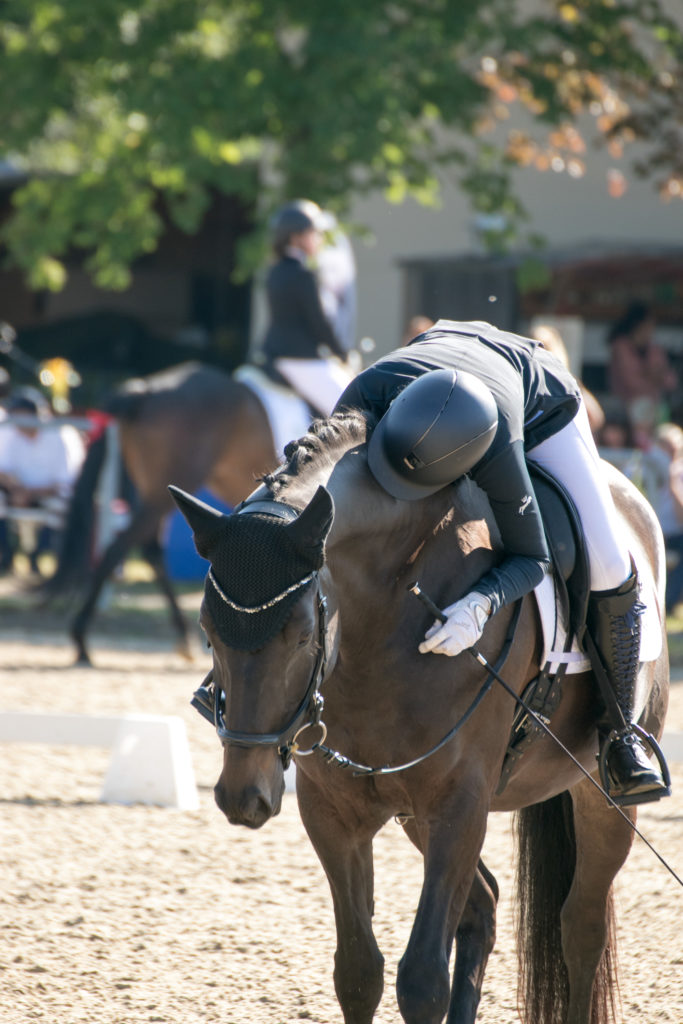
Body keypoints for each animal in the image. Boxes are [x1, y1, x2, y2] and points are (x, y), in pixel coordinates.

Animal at [45, 360, 280, 663]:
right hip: (171, 487)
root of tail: (144, 391)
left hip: (158, 491)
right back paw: (82, 638)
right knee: (120, 548)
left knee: (149, 550)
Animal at [174, 409, 671, 1024]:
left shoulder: (459, 806)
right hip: (411, 812)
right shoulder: (333, 812)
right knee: (484, 905)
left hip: (598, 797)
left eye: (304, 635)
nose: (244, 797)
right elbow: (359, 971)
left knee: (581, 927)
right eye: (208, 631)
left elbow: (422, 979)